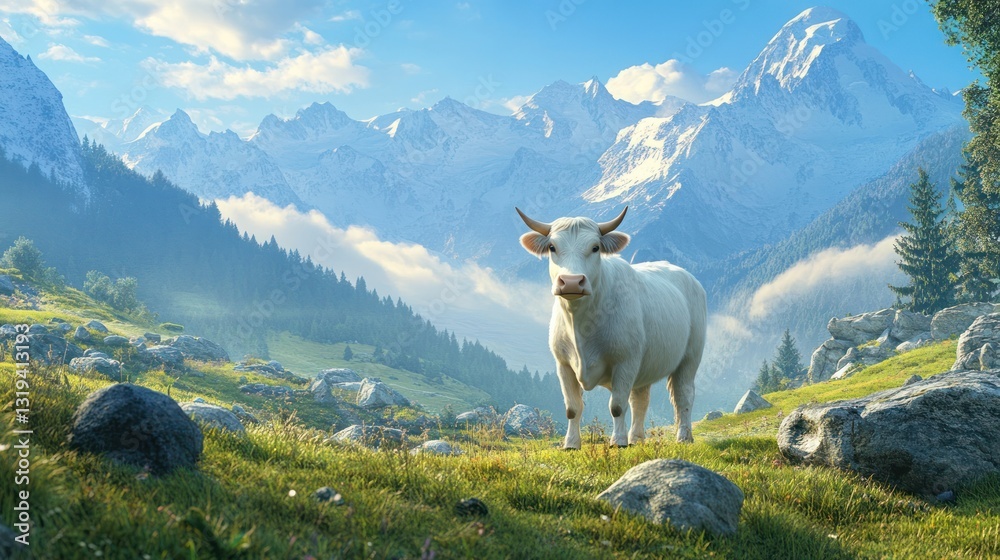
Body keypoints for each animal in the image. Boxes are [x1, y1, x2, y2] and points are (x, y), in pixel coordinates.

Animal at [515, 206, 707, 447]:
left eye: (595, 247)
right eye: (552, 247)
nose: (571, 282)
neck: (581, 326)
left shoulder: (624, 361)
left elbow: (616, 406)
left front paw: (618, 441)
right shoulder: (563, 364)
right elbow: (572, 408)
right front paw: (571, 444)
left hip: (690, 356)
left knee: (683, 395)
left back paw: (683, 437)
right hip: (643, 363)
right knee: (640, 399)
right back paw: (636, 439)